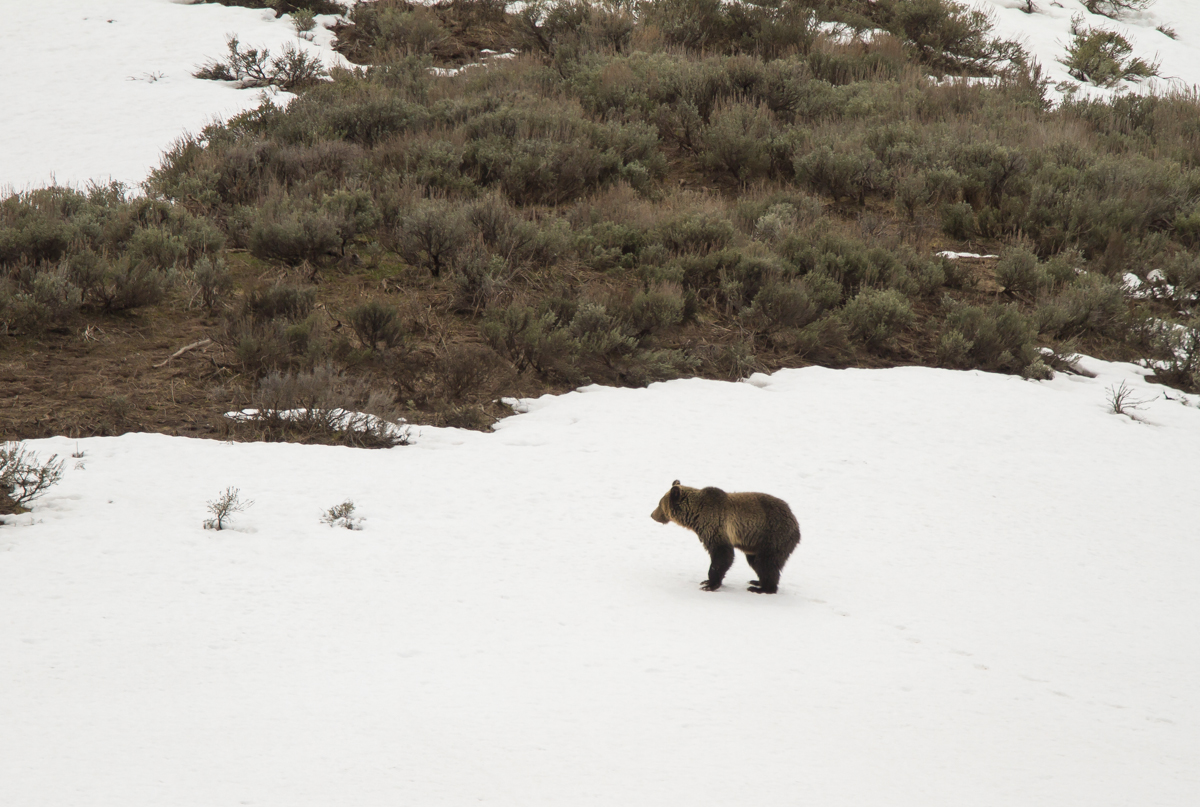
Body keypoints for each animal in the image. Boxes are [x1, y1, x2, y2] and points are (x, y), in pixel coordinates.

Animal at [650, 480, 800, 594]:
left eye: (659, 504)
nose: (652, 515)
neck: (695, 516)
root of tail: (796, 523)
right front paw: (707, 581)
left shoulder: (715, 526)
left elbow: (722, 554)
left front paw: (709, 584)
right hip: (756, 544)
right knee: (756, 561)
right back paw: (757, 581)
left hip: (773, 535)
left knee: (766, 562)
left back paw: (763, 588)